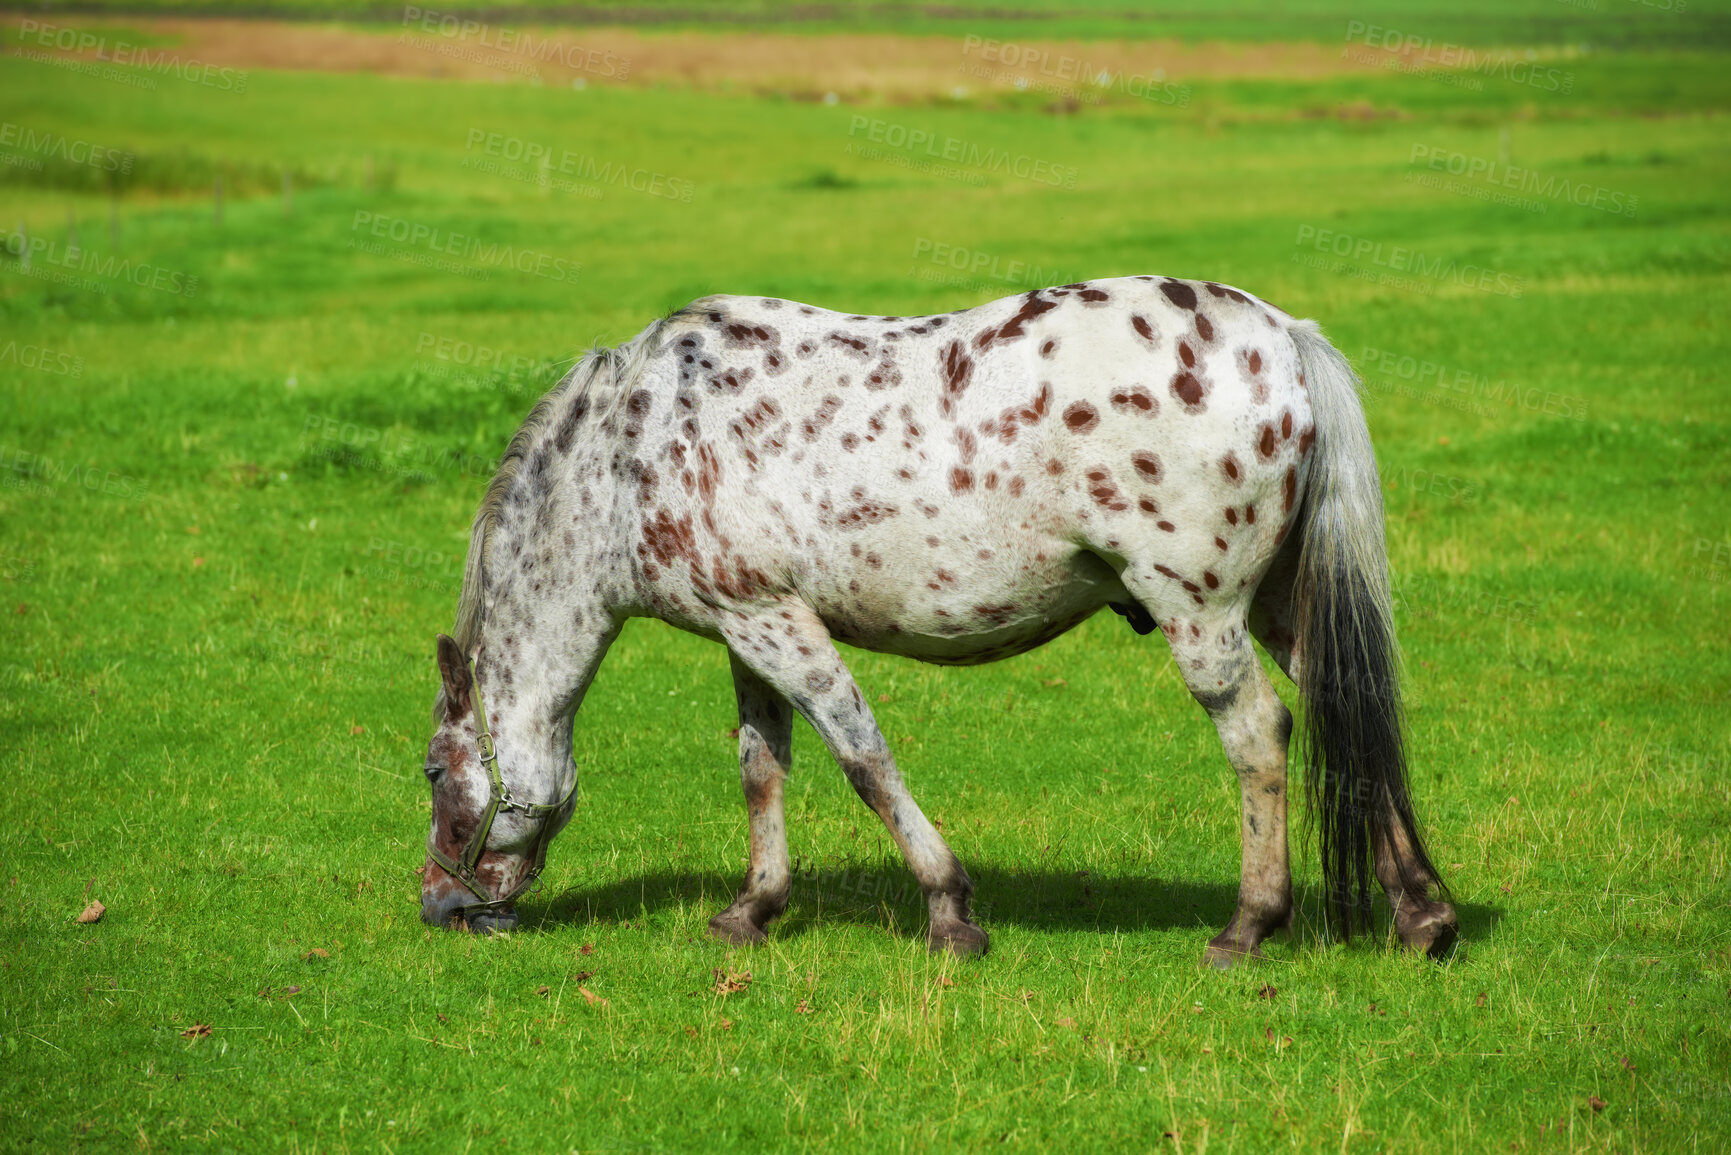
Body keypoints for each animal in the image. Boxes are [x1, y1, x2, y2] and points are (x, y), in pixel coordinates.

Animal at [422, 273, 1460, 969]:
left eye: (434, 771)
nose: (441, 906)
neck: (633, 449)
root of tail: (1282, 336)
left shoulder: (775, 625)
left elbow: (863, 761)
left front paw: (949, 911)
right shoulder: (748, 629)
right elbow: (764, 768)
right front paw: (752, 909)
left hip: (1198, 611)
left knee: (1257, 734)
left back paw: (1248, 925)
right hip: (1279, 605)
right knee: (1343, 709)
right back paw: (1421, 915)